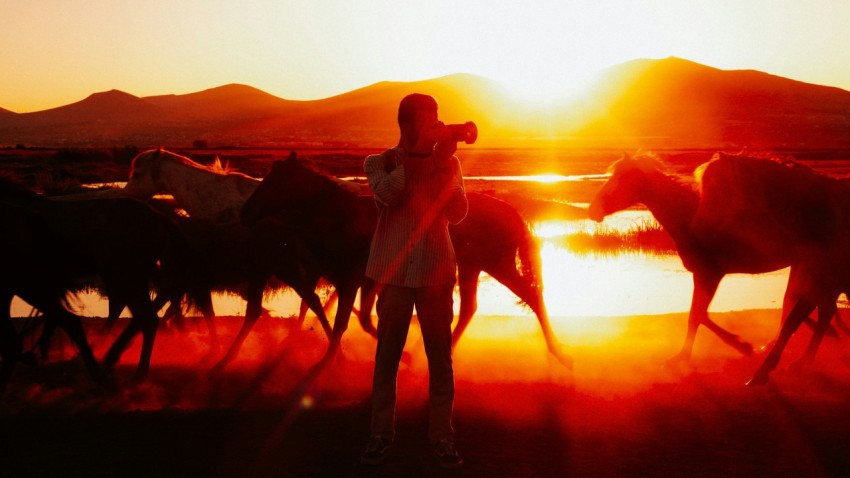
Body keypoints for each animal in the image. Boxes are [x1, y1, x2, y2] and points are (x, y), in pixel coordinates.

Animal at [588, 153, 840, 366]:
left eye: (622, 179)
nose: (592, 210)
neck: (691, 217)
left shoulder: (708, 274)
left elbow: (696, 316)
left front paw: (690, 354)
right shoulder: (706, 275)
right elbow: (699, 315)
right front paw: (740, 346)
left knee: (819, 308)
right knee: (809, 305)